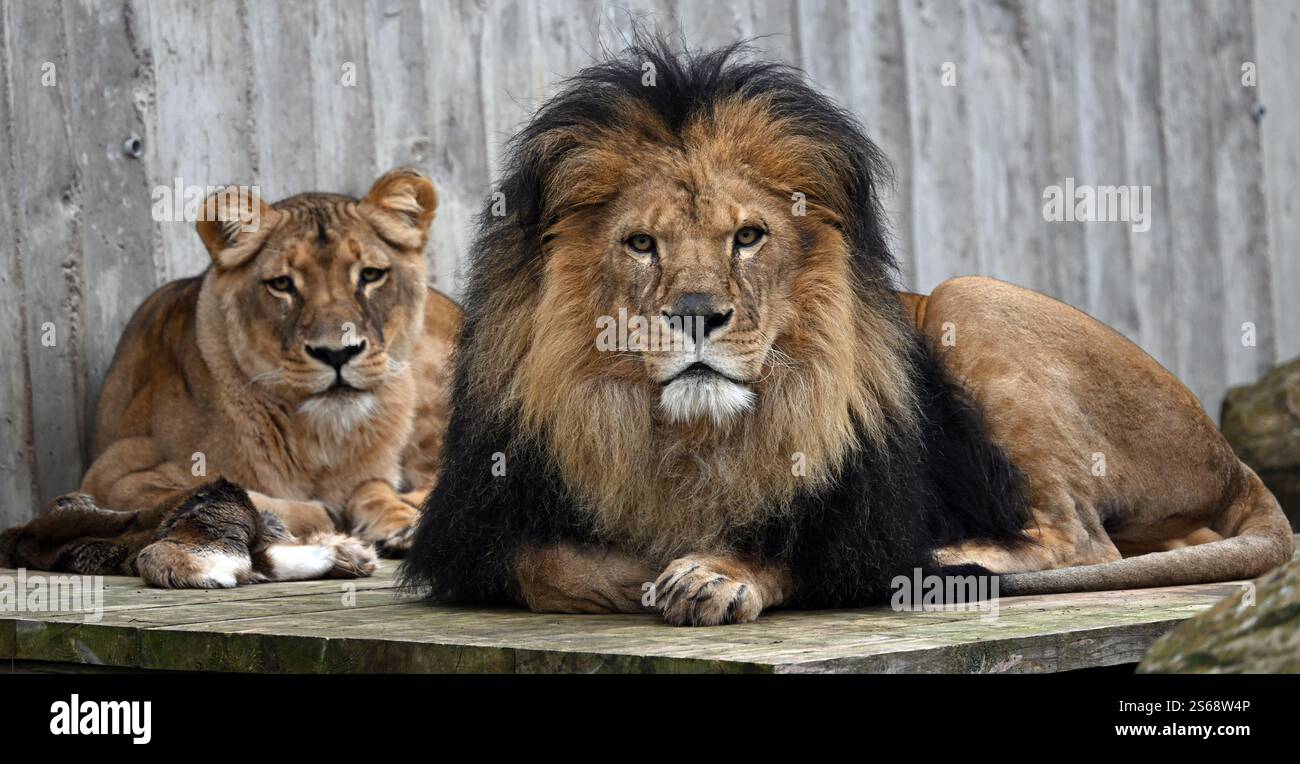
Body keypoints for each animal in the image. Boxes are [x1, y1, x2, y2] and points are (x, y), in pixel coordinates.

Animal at [1, 169, 461, 588]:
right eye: (281, 284)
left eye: (370, 275)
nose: (336, 353)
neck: (321, 440)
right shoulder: (115, 473)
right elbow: (237, 495)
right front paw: (327, 521)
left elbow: (373, 489)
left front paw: (392, 521)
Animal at [400, 41, 1293, 626]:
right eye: (642, 243)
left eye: (748, 237)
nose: (696, 312)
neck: (683, 441)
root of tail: (1230, 456)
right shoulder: (478, 530)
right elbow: (550, 562)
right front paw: (651, 567)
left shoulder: (856, 526)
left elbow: (804, 549)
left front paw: (714, 572)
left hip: (970, 297)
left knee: (1085, 542)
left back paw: (954, 559)